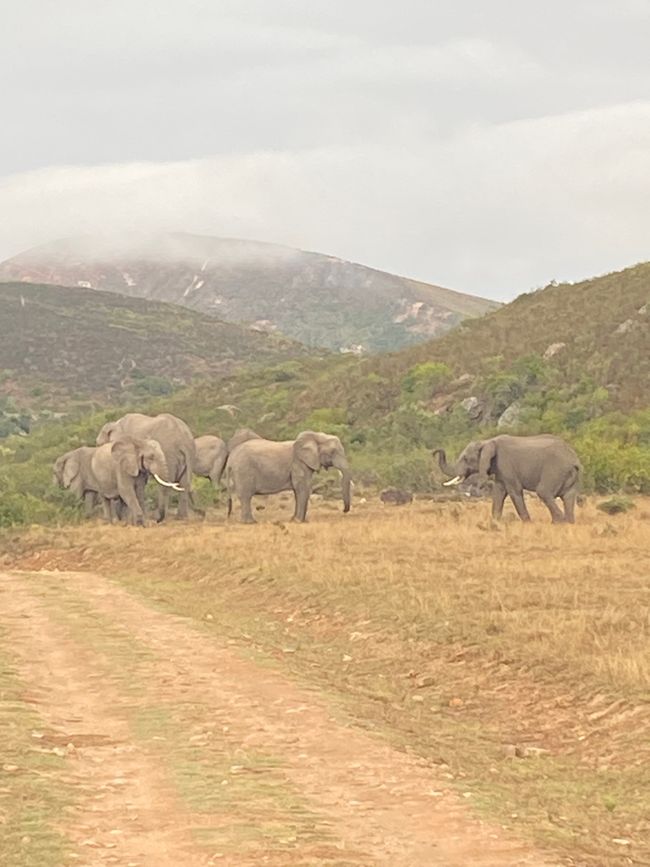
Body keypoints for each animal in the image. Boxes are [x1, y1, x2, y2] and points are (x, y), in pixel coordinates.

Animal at [433, 434, 581, 523]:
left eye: (465, 458)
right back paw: (568, 522)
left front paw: (527, 523)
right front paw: (494, 523)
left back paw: (558, 522)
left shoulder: (506, 465)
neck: (488, 441)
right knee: (568, 496)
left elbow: (514, 491)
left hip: (555, 470)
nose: (435, 452)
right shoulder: (500, 471)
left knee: (543, 492)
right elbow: (499, 493)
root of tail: (574, 459)